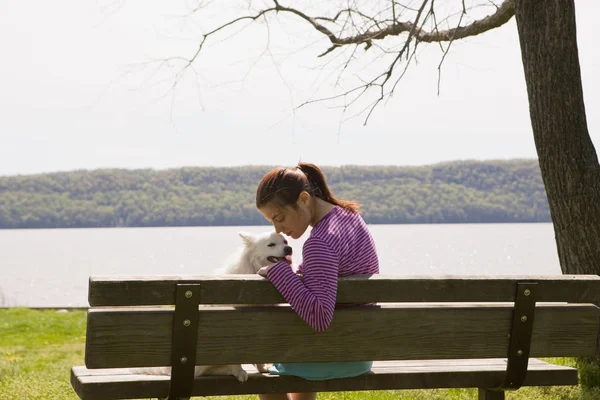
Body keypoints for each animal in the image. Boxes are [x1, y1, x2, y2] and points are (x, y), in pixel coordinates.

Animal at [130, 230, 294, 398]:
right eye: (271, 245)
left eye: (285, 242)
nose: (289, 249)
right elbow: (236, 358)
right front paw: (239, 371)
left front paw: (262, 369)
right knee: (204, 372)